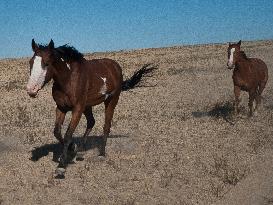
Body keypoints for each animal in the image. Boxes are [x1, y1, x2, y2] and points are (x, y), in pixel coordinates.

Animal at [26, 38, 156, 178]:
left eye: (47, 63)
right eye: (31, 62)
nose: (31, 89)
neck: (69, 79)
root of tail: (115, 66)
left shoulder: (77, 109)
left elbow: (68, 134)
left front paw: (61, 166)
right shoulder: (61, 108)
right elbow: (57, 132)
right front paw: (73, 148)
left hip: (111, 101)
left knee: (106, 126)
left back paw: (101, 154)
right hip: (87, 106)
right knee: (91, 122)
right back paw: (81, 152)